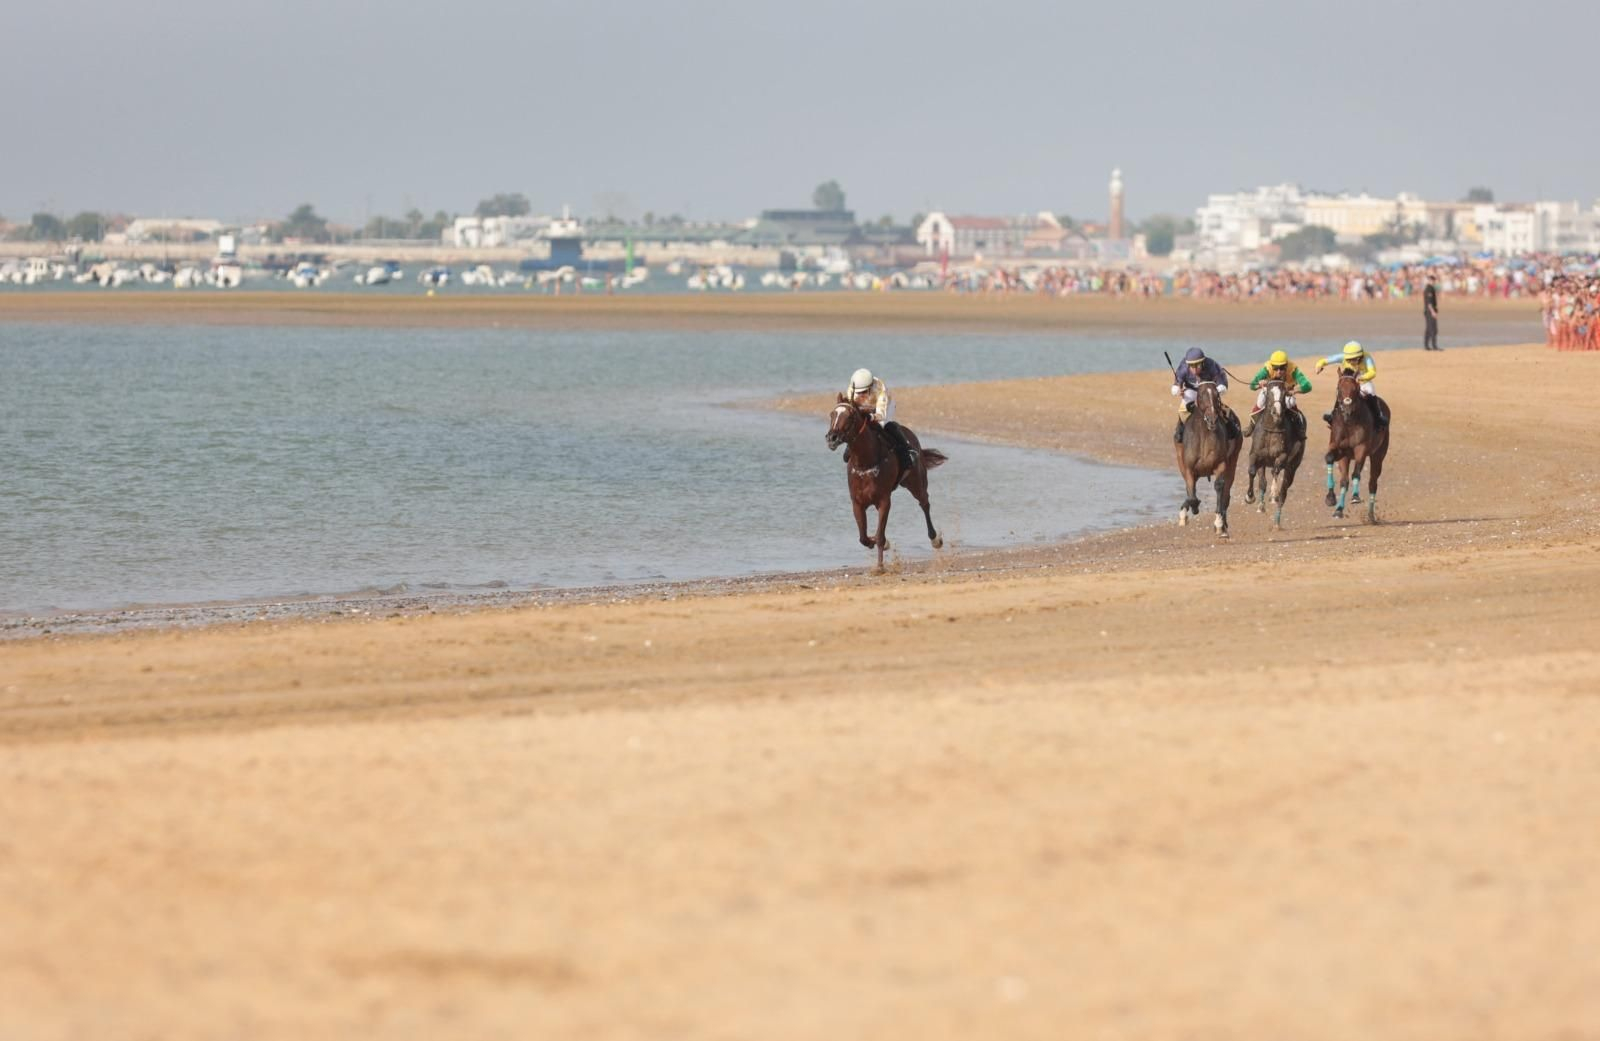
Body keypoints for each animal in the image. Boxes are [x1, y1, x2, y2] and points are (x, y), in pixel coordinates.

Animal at [825, 396, 947, 570]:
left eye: (849, 417)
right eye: (832, 414)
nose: (832, 438)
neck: (866, 464)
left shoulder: (884, 501)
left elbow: (880, 536)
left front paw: (880, 567)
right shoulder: (857, 503)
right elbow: (863, 537)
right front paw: (879, 543)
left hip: (916, 482)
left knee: (924, 503)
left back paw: (935, 539)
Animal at [1174, 380, 1242, 537]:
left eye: (1217, 395)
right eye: (1200, 395)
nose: (1212, 418)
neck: (1204, 436)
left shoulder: (1221, 464)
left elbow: (1219, 487)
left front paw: (1219, 523)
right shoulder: (1188, 468)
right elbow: (1191, 493)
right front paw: (1188, 511)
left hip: (1233, 462)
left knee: (1226, 494)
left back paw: (1224, 526)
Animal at [1243, 379, 1306, 530]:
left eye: (1284, 394)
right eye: (1269, 394)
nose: (1276, 412)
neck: (1272, 429)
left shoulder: (1283, 456)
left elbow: (1276, 470)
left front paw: (1273, 494)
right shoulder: (1255, 455)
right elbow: (1252, 471)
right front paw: (1250, 497)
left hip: (1292, 468)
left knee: (1283, 492)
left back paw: (1277, 522)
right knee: (1262, 482)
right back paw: (1261, 506)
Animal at [1323, 373, 1390, 523]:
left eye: (1355, 389)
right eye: (1339, 388)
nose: (1347, 410)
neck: (1349, 423)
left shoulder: (1361, 448)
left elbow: (1356, 473)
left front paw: (1355, 496)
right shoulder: (1340, 450)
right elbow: (1338, 472)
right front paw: (1332, 500)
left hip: (1378, 455)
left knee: (1372, 483)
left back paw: (1371, 516)